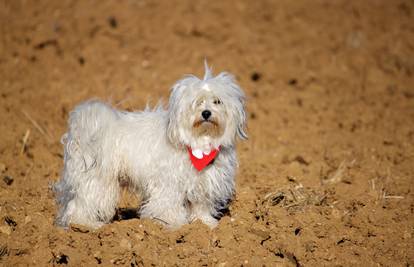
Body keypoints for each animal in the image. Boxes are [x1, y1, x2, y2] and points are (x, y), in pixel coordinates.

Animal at [52, 63, 246, 230]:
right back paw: (86, 225)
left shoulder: (204, 183)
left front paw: (205, 223)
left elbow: (201, 205)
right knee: (80, 204)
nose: (206, 113)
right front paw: (173, 224)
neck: (199, 144)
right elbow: (168, 205)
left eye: (217, 101)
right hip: (96, 180)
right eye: (197, 102)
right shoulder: (168, 183)